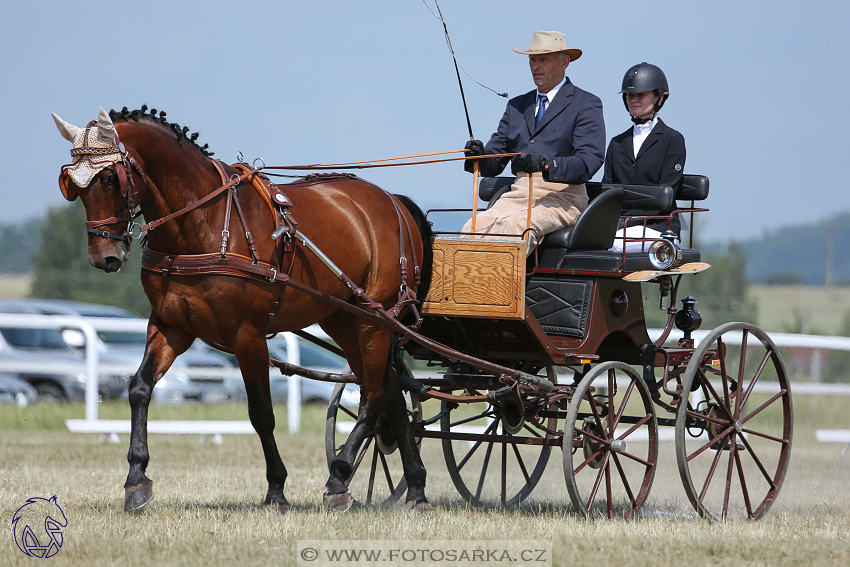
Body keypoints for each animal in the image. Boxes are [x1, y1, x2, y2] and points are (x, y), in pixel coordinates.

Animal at [54, 106, 430, 516]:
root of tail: (392, 201)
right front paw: (136, 479)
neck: (202, 223)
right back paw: (415, 487)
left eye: (110, 178)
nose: (103, 257)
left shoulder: (247, 335)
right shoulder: (170, 326)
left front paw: (277, 489)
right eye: (71, 184)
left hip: (374, 321)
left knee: (373, 395)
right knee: (391, 391)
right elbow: (139, 388)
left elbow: (261, 412)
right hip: (344, 319)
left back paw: (339, 477)